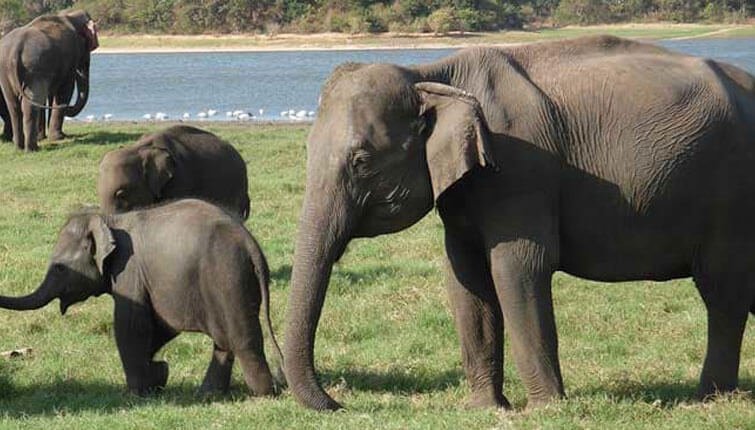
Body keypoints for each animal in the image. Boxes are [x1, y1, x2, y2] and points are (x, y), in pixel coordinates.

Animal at [0, 10, 98, 152]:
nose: (69, 108)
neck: (70, 16)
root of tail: (15, 50)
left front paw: (45, 137)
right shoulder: (69, 60)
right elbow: (65, 91)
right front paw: (58, 138)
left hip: (6, 72)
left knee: (14, 106)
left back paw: (19, 147)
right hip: (34, 66)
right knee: (30, 104)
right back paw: (32, 149)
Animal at [0, 199, 283, 396]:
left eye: (59, 267)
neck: (110, 220)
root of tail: (251, 245)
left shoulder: (129, 271)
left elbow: (131, 324)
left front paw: (138, 392)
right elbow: (159, 327)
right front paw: (159, 375)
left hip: (227, 278)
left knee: (243, 340)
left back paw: (264, 393)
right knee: (223, 342)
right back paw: (207, 394)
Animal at [283, 35, 755, 411]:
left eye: (361, 161)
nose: (340, 403)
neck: (431, 74)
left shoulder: (521, 170)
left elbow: (518, 267)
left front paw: (545, 408)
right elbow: (465, 277)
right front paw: (483, 409)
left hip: (731, 198)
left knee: (722, 293)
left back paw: (707, 399)